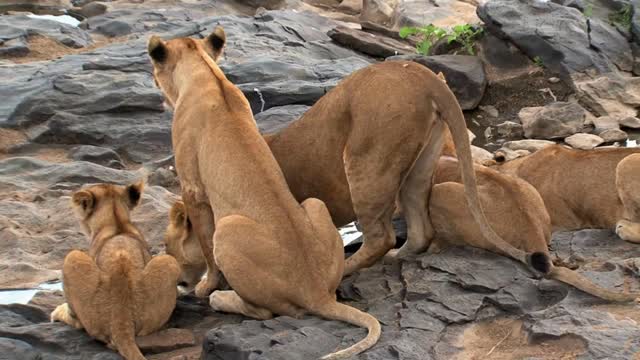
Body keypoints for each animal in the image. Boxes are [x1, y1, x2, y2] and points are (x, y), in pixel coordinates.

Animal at [147, 27, 380, 358]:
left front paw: (205, 287)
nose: (153, 82)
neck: (205, 70)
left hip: (228, 230)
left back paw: (222, 299)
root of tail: (315, 292)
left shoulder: (193, 189)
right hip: (314, 204)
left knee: (265, 311)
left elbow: (205, 247)